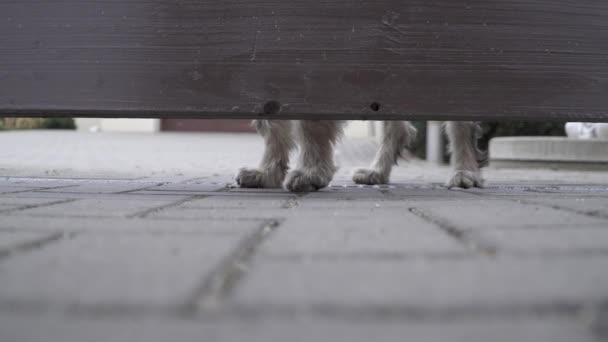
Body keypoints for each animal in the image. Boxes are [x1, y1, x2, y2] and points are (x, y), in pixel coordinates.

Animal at [235, 120, 486, 191]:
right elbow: (270, 123)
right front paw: (266, 173)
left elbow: (310, 125)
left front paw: (312, 171)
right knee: (399, 129)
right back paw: (377, 171)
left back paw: (465, 171)